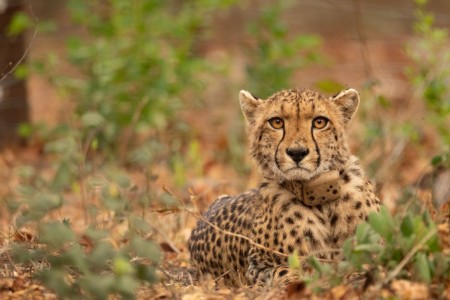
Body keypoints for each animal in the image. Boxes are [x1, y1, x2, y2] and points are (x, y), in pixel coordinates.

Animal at [188, 86, 382, 286]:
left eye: (320, 122)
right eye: (276, 122)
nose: (297, 153)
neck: (320, 200)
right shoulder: (257, 266)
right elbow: (288, 273)